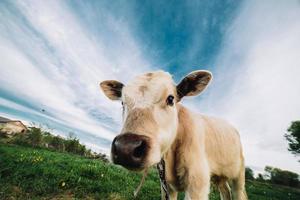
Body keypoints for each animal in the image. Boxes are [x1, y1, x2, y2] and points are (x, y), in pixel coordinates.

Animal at [99, 70, 247, 200]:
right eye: (122, 103)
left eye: (170, 99)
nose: (126, 148)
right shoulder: (166, 186)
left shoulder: (197, 183)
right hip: (219, 176)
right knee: (225, 191)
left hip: (239, 174)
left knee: (239, 192)